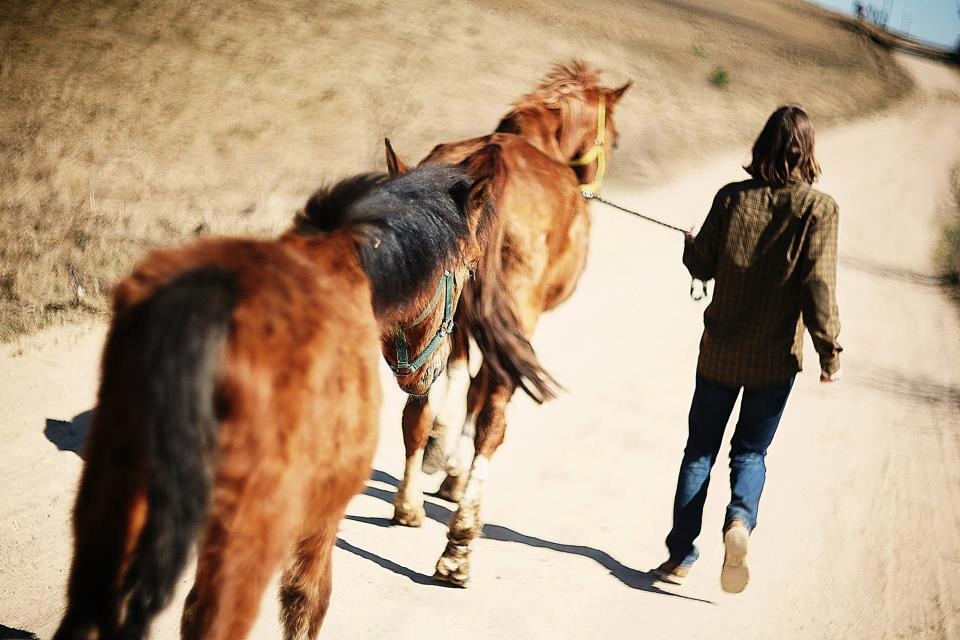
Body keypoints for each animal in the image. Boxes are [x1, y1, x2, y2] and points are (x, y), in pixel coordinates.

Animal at [52, 163, 496, 640]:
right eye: (471, 265)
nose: (432, 372)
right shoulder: (323, 515)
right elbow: (307, 600)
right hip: (248, 533)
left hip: (109, 504)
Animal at [385, 60, 631, 587]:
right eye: (616, 139)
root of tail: (492, 166)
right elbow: (478, 391)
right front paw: (453, 473)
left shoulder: (459, 307)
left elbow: (454, 379)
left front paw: (439, 453)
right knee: (494, 417)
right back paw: (459, 548)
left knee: (419, 400)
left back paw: (409, 504)